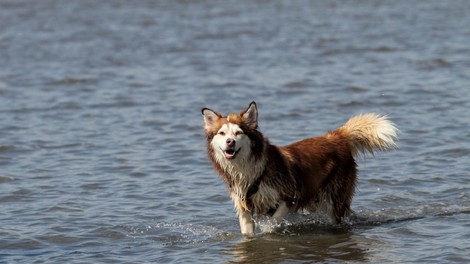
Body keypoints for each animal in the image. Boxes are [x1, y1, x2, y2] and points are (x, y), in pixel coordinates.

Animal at [200, 100, 398, 235]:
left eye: (239, 133)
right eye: (222, 133)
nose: (230, 142)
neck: (248, 170)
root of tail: (336, 137)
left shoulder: (290, 196)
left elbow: (272, 224)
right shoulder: (244, 209)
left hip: (333, 198)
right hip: (315, 199)